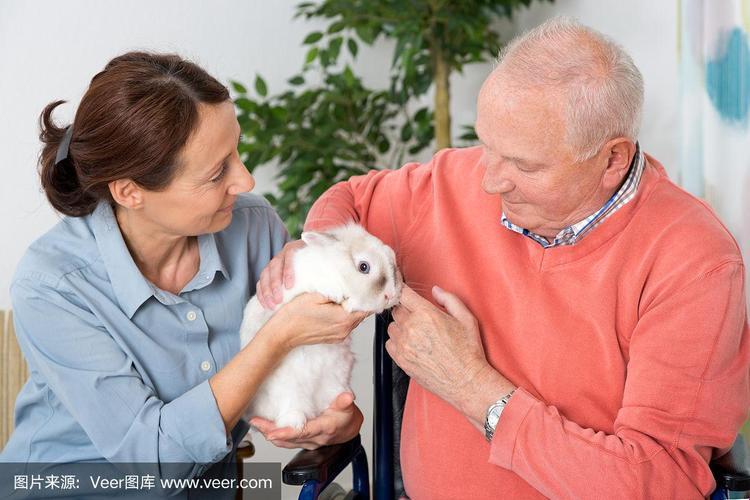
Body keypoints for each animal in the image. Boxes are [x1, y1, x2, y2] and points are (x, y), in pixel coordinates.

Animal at [242, 223, 406, 430]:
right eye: (364, 267)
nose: (390, 295)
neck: (336, 270)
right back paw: (295, 423)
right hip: (287, 390)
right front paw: (336, 294)